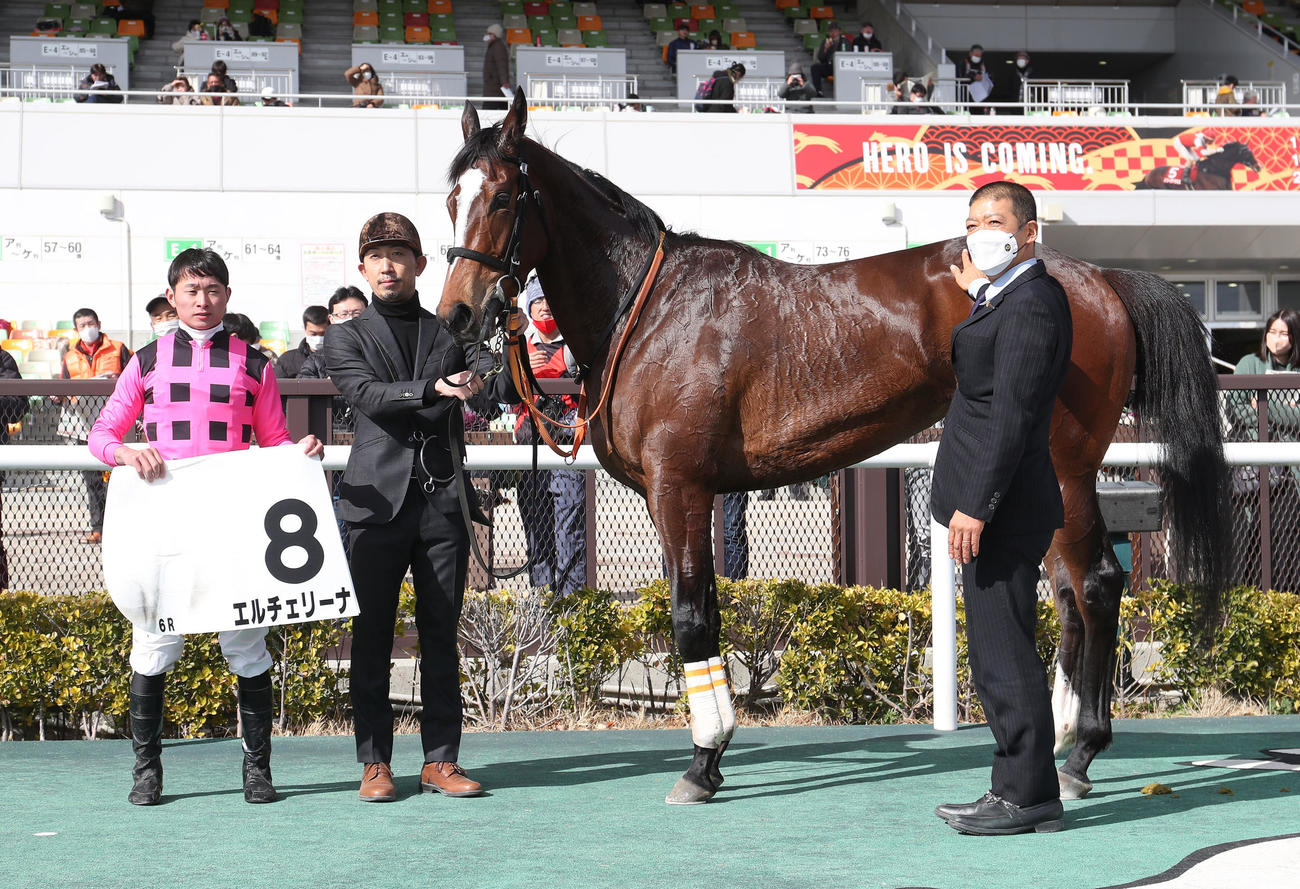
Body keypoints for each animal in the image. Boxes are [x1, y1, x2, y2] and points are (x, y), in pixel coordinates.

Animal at [438, 90, 1229, 805]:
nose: (456, 314)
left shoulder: (678, 487)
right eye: (452, 196)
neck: (651, 308)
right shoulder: (691, 496)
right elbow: (708, 610)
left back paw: (1083, 750)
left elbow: (690, 617)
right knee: (1065, 591)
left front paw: (702, 761)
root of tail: (1098, 277)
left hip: (1067, 466)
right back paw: (1065, 737)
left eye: (504, 196)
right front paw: (714, 756)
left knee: (1095, 582)